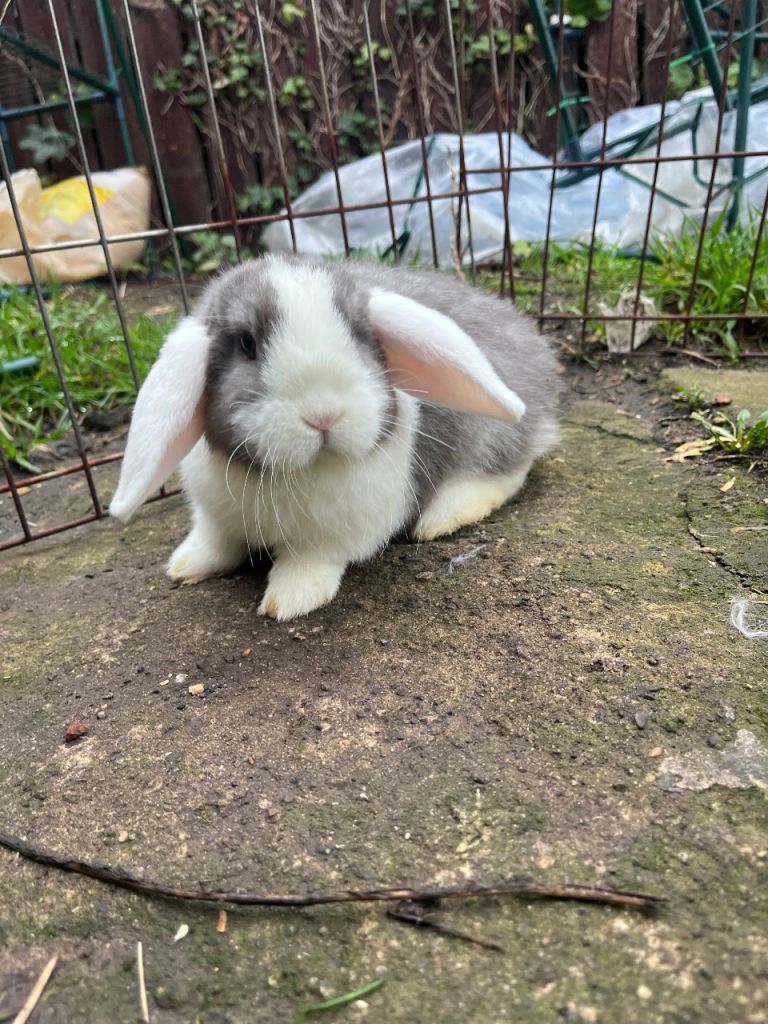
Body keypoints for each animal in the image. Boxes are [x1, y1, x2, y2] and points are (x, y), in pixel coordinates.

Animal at [110, 255, 561, 620]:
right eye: (247, 343)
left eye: (360, 334)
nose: (323, 415)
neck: (296, 472)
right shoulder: (215, 517)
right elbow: (215, 541)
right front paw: (186, 565)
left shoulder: (331, 538)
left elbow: (308, 563)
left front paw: (290, 601)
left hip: (490, 435)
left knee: (508, 470)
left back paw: (442, 518)